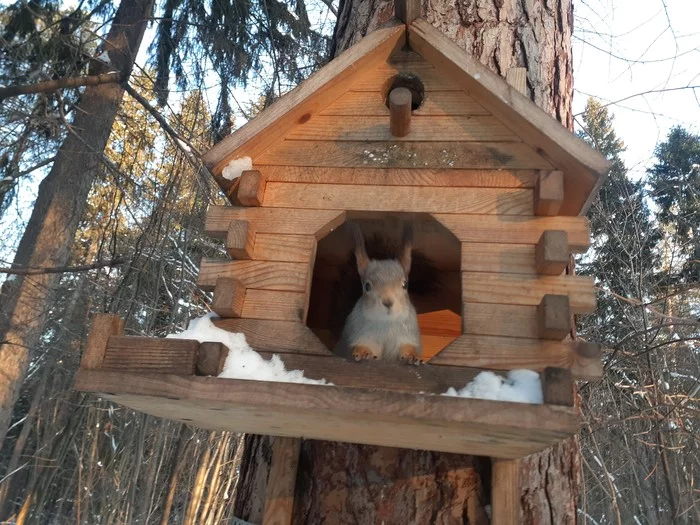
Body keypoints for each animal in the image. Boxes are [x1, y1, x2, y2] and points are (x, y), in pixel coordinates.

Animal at [332, 221, 424, 364]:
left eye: (405, 284)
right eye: (367, 286)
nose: (388, 303)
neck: (385, 322)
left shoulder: (407, 335)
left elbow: (408, 348)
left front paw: (411, 356)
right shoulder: (361, 335)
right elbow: (361, 346)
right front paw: (363, 353)